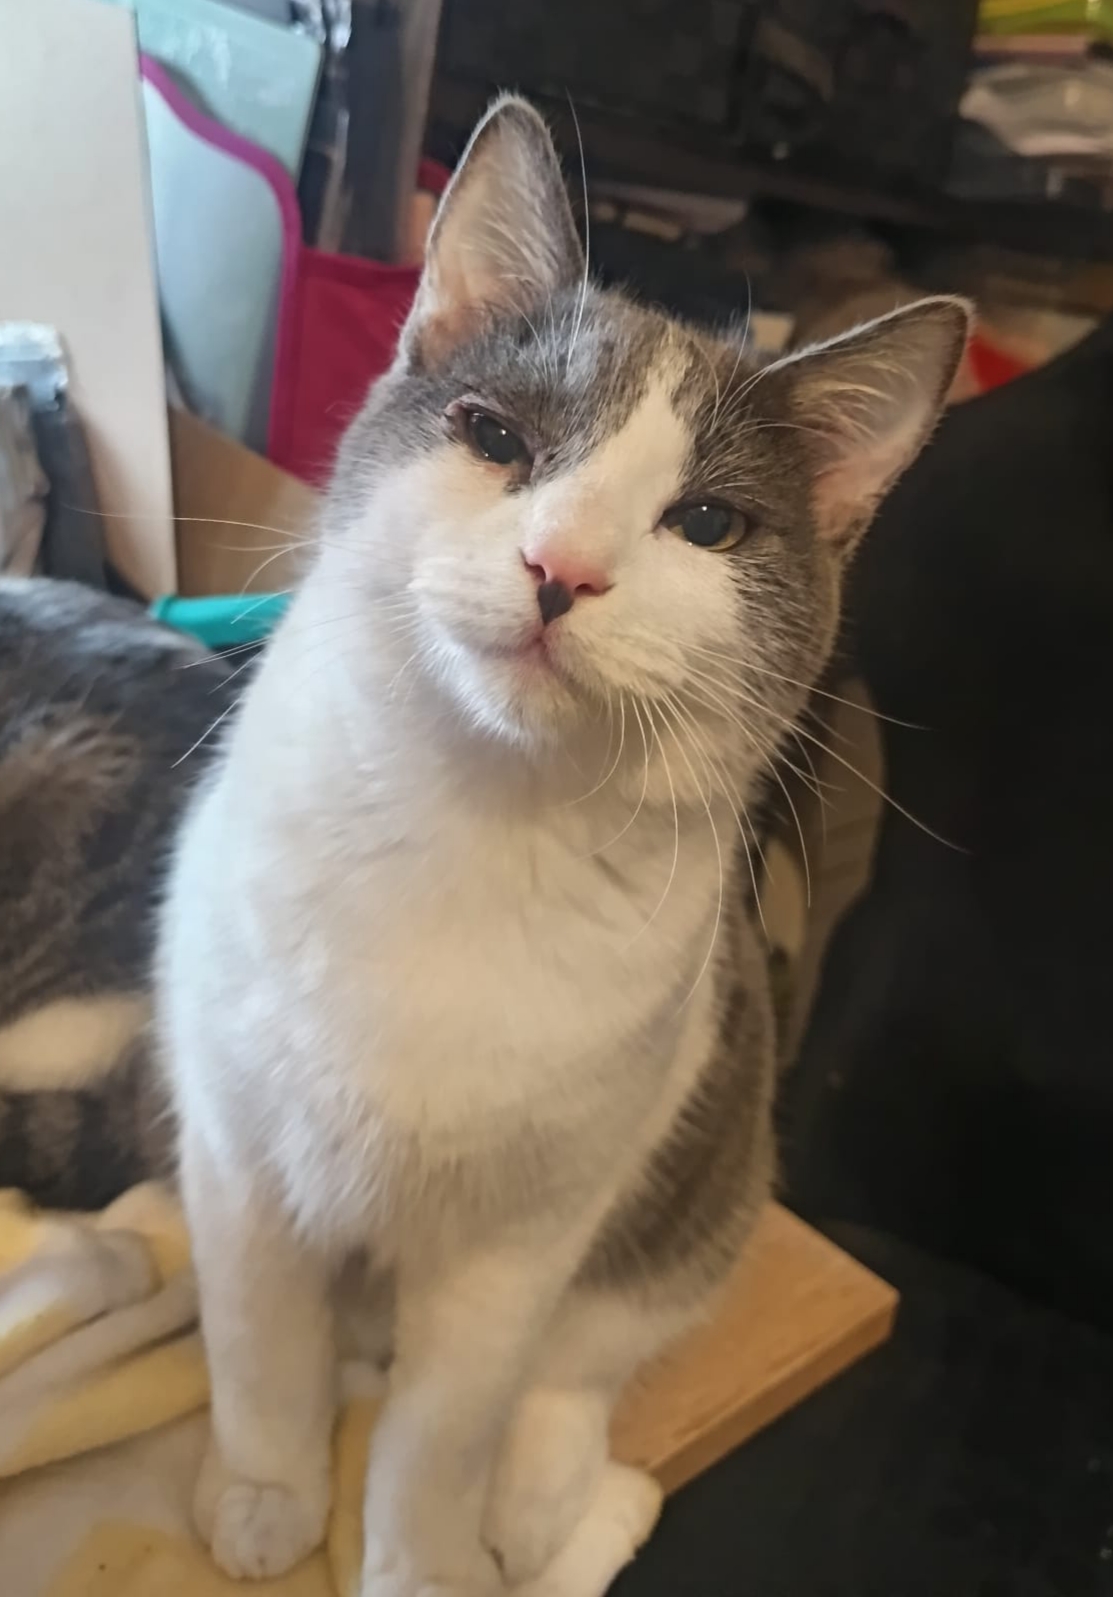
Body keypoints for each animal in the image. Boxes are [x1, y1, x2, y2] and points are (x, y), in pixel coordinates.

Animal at [155, 96, 968, 1597]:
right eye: (493, 435)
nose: (562, 568)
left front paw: (419, 1561)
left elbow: (442, 1430)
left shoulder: (518, 1247)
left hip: (705, 1158)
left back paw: (540, 1494)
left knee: (585, 1359)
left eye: (705, 522)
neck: (473, 825)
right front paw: (267, 1488)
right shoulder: (237, 1156)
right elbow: (259, 1341)